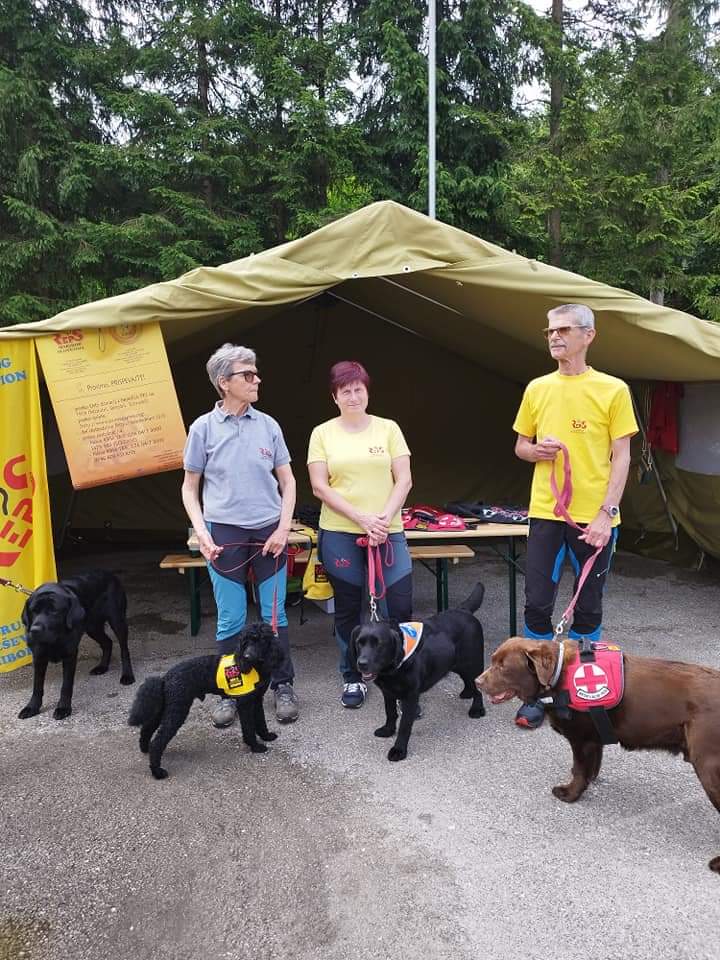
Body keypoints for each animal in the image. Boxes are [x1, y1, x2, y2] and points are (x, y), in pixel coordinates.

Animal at [19, 570, 134, 720]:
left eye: (54, 611)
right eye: (33, 610)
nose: (35, 630)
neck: (55, 638)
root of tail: (109, 574)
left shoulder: (69, 655)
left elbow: (66, 686)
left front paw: (63, 708)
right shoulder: (38, 657)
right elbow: (37, 686)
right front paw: (32, 707)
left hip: (117, 620)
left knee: (124, 649)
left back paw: (127, 675)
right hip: (92, 627)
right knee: (107, 643)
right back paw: (102, 667)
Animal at [128, 622, 282, 779]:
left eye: (260, 641)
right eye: (245, 642)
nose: (247, 656)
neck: (255, 668)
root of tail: (165, 677)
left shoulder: (256, 700)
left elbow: (261, 721)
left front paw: (266, 736)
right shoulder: (245, 704)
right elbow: (249, 728)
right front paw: (255, 746)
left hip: (167, 707)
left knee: (147, 728)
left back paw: (145, 748)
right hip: (178, 709)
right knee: (158, 741)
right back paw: (157, 771)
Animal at [351, 582, 486, 761]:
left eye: (378, 644)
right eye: (359, 643)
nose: (362, 663)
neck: (393, 667)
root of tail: (464, 610)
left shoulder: (410, 696)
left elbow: (405, 725)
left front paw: (399, 749)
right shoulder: (388, 692)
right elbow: (390, 712)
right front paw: (388, 730)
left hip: (472, 662)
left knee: (478, 687)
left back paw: (477, 709)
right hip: (457, 663)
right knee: (468, 680)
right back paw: (467, 692)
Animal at [476, 636, 720, 873]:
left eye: (503, 666)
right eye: (493, 660)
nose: (477, 682)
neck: (557, 676)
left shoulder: (581, 738)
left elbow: (579, 769)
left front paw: (570, 793)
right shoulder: (594, 737)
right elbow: (591, 765)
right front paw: (589, 780)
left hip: (708, 765)